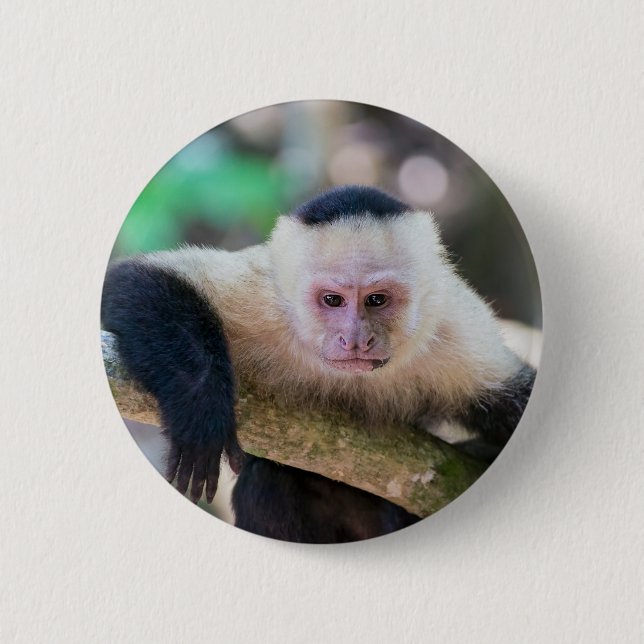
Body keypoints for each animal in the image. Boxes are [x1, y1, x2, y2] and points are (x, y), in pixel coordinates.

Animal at [102, 185, 535, 542]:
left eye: (376, 300)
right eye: (332, 300)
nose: (356, 340)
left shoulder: (451, 326)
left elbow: (515, 395)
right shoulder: (266, 297)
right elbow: (130, 282)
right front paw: (201, 410)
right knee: (270, 482)